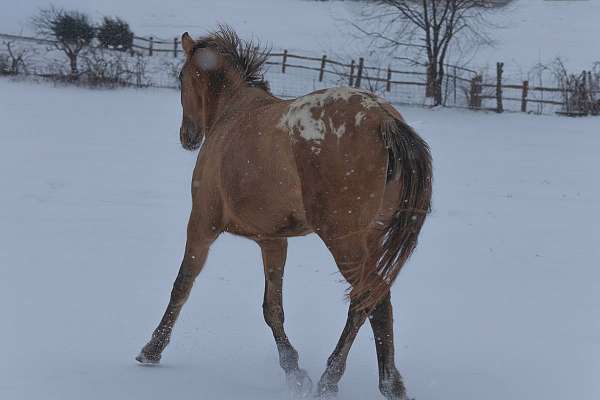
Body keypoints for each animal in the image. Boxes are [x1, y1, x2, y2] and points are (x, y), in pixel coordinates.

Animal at [137, 26, 432, 398]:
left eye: (181, 77)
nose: (187, 136)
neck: (231, 112)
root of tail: (384, 119)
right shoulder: (272, 240)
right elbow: (272, 308)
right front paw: (294, 371)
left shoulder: (202, 223)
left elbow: (182, 285)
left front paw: (151, 350)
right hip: (372, 239)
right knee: (369, 300)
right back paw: (365, 381)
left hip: (344, 242)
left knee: (370, 296)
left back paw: (344, 381)